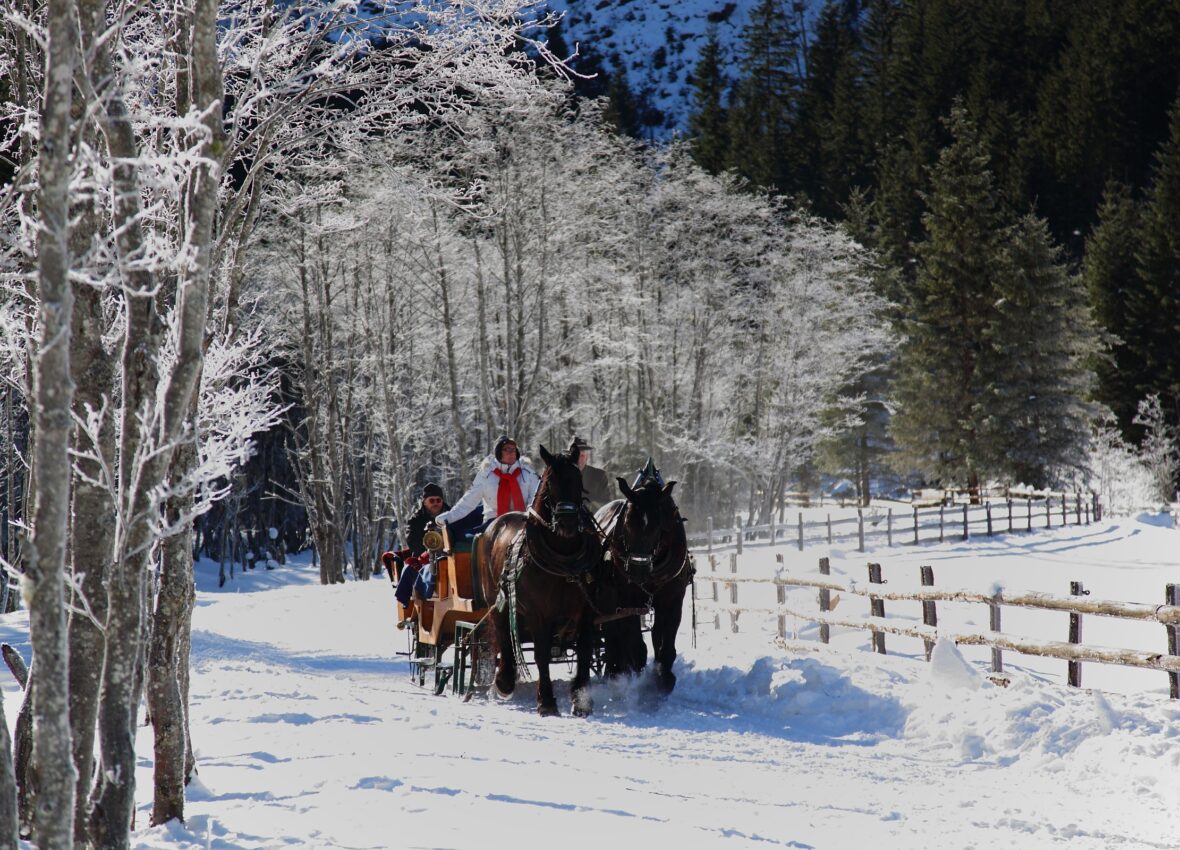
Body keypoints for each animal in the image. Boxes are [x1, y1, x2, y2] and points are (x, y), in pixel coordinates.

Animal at [471, 443, 604, 717]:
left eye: (578, 479)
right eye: (550, 481)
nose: (567, 523)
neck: (563, 558)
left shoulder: (586, 610)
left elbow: (585, 650)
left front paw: (581, 700)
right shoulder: (538, 613)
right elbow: (542, 654)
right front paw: (547, 702)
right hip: (497, 601)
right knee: (503, 635)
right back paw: (504, 681)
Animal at [599, 467, 689, 694]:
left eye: (658, 526)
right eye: (627, 523)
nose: (637, 570)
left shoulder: (673, 599)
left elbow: (665, 642)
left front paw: (663, 678)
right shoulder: (628, 600)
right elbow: (635, 646)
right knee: (613, 636)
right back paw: (614, 672)